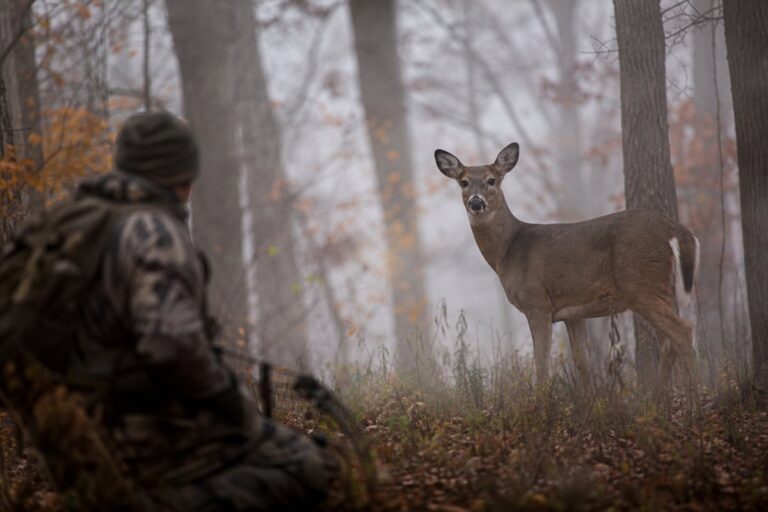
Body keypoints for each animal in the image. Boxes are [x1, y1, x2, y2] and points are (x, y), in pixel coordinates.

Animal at [434, 142, 699, 398]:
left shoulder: (537, 303)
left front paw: (543, 403)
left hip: (640, 284)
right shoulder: (574, 313)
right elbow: (582, 362)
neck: (507, 251)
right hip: (661, 288)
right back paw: (658, 399)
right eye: (464, 182)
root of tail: (673, 228)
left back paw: (689, 398)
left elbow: (541, 361)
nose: (476, 203)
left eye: (491, 180)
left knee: (682, 331)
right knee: (667, 342)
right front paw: (590, 403)